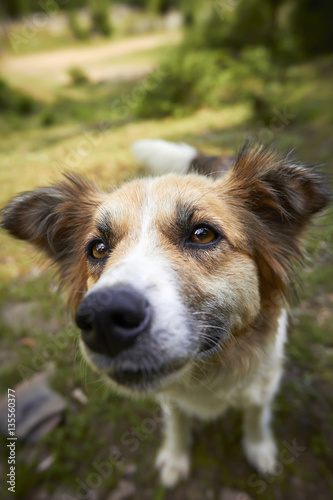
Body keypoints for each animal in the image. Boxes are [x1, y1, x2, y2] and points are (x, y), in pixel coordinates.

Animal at [1, 141, 330, 488]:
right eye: (98, 249)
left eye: (202, 234)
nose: (103, 320)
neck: (209, 369)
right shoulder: (171, 399)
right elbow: (177, 424)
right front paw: (175, 457)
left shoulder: (263, 385)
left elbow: (255, 417)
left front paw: (259, 449)